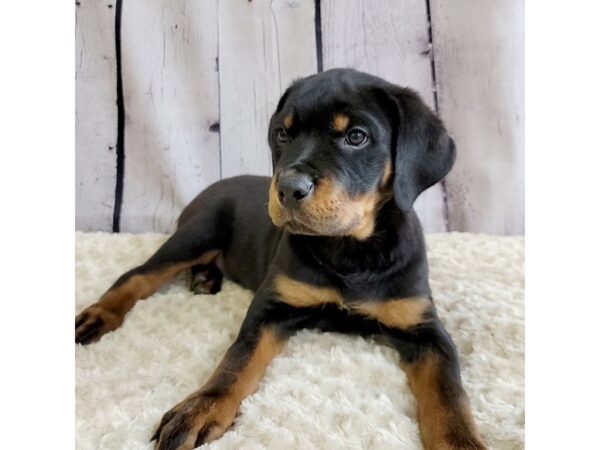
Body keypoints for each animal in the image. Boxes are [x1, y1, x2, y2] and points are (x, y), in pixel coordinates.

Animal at [76, 67, 488, 450]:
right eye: (283, 134)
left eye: (356, 136)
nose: (289, 188)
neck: (349, 250)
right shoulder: (270, 308)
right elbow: (237, 360)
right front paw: (201, 408)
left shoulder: (426, 330)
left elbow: (450, 395)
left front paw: (461, 441)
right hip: (196, 233)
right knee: (137, 275)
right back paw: (97, 316)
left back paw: (205, 279)